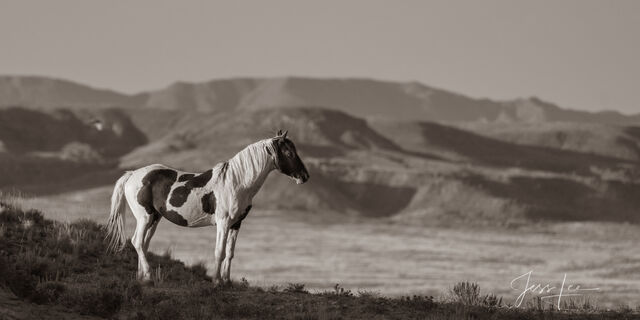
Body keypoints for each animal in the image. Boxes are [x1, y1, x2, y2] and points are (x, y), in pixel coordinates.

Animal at [105, 130, 310, 284]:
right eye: (289, 153)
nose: (305, 176)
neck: (237, 182)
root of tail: (132, 174)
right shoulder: (223, 222)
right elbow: (219, 251)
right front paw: (216, 281)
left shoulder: (236, 224)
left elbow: (230, 253)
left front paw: (227, 281)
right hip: (145, 216)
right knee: (137, 242)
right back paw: (147, 276)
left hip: (155, 218)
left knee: (144, 244)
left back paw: (142, 277)